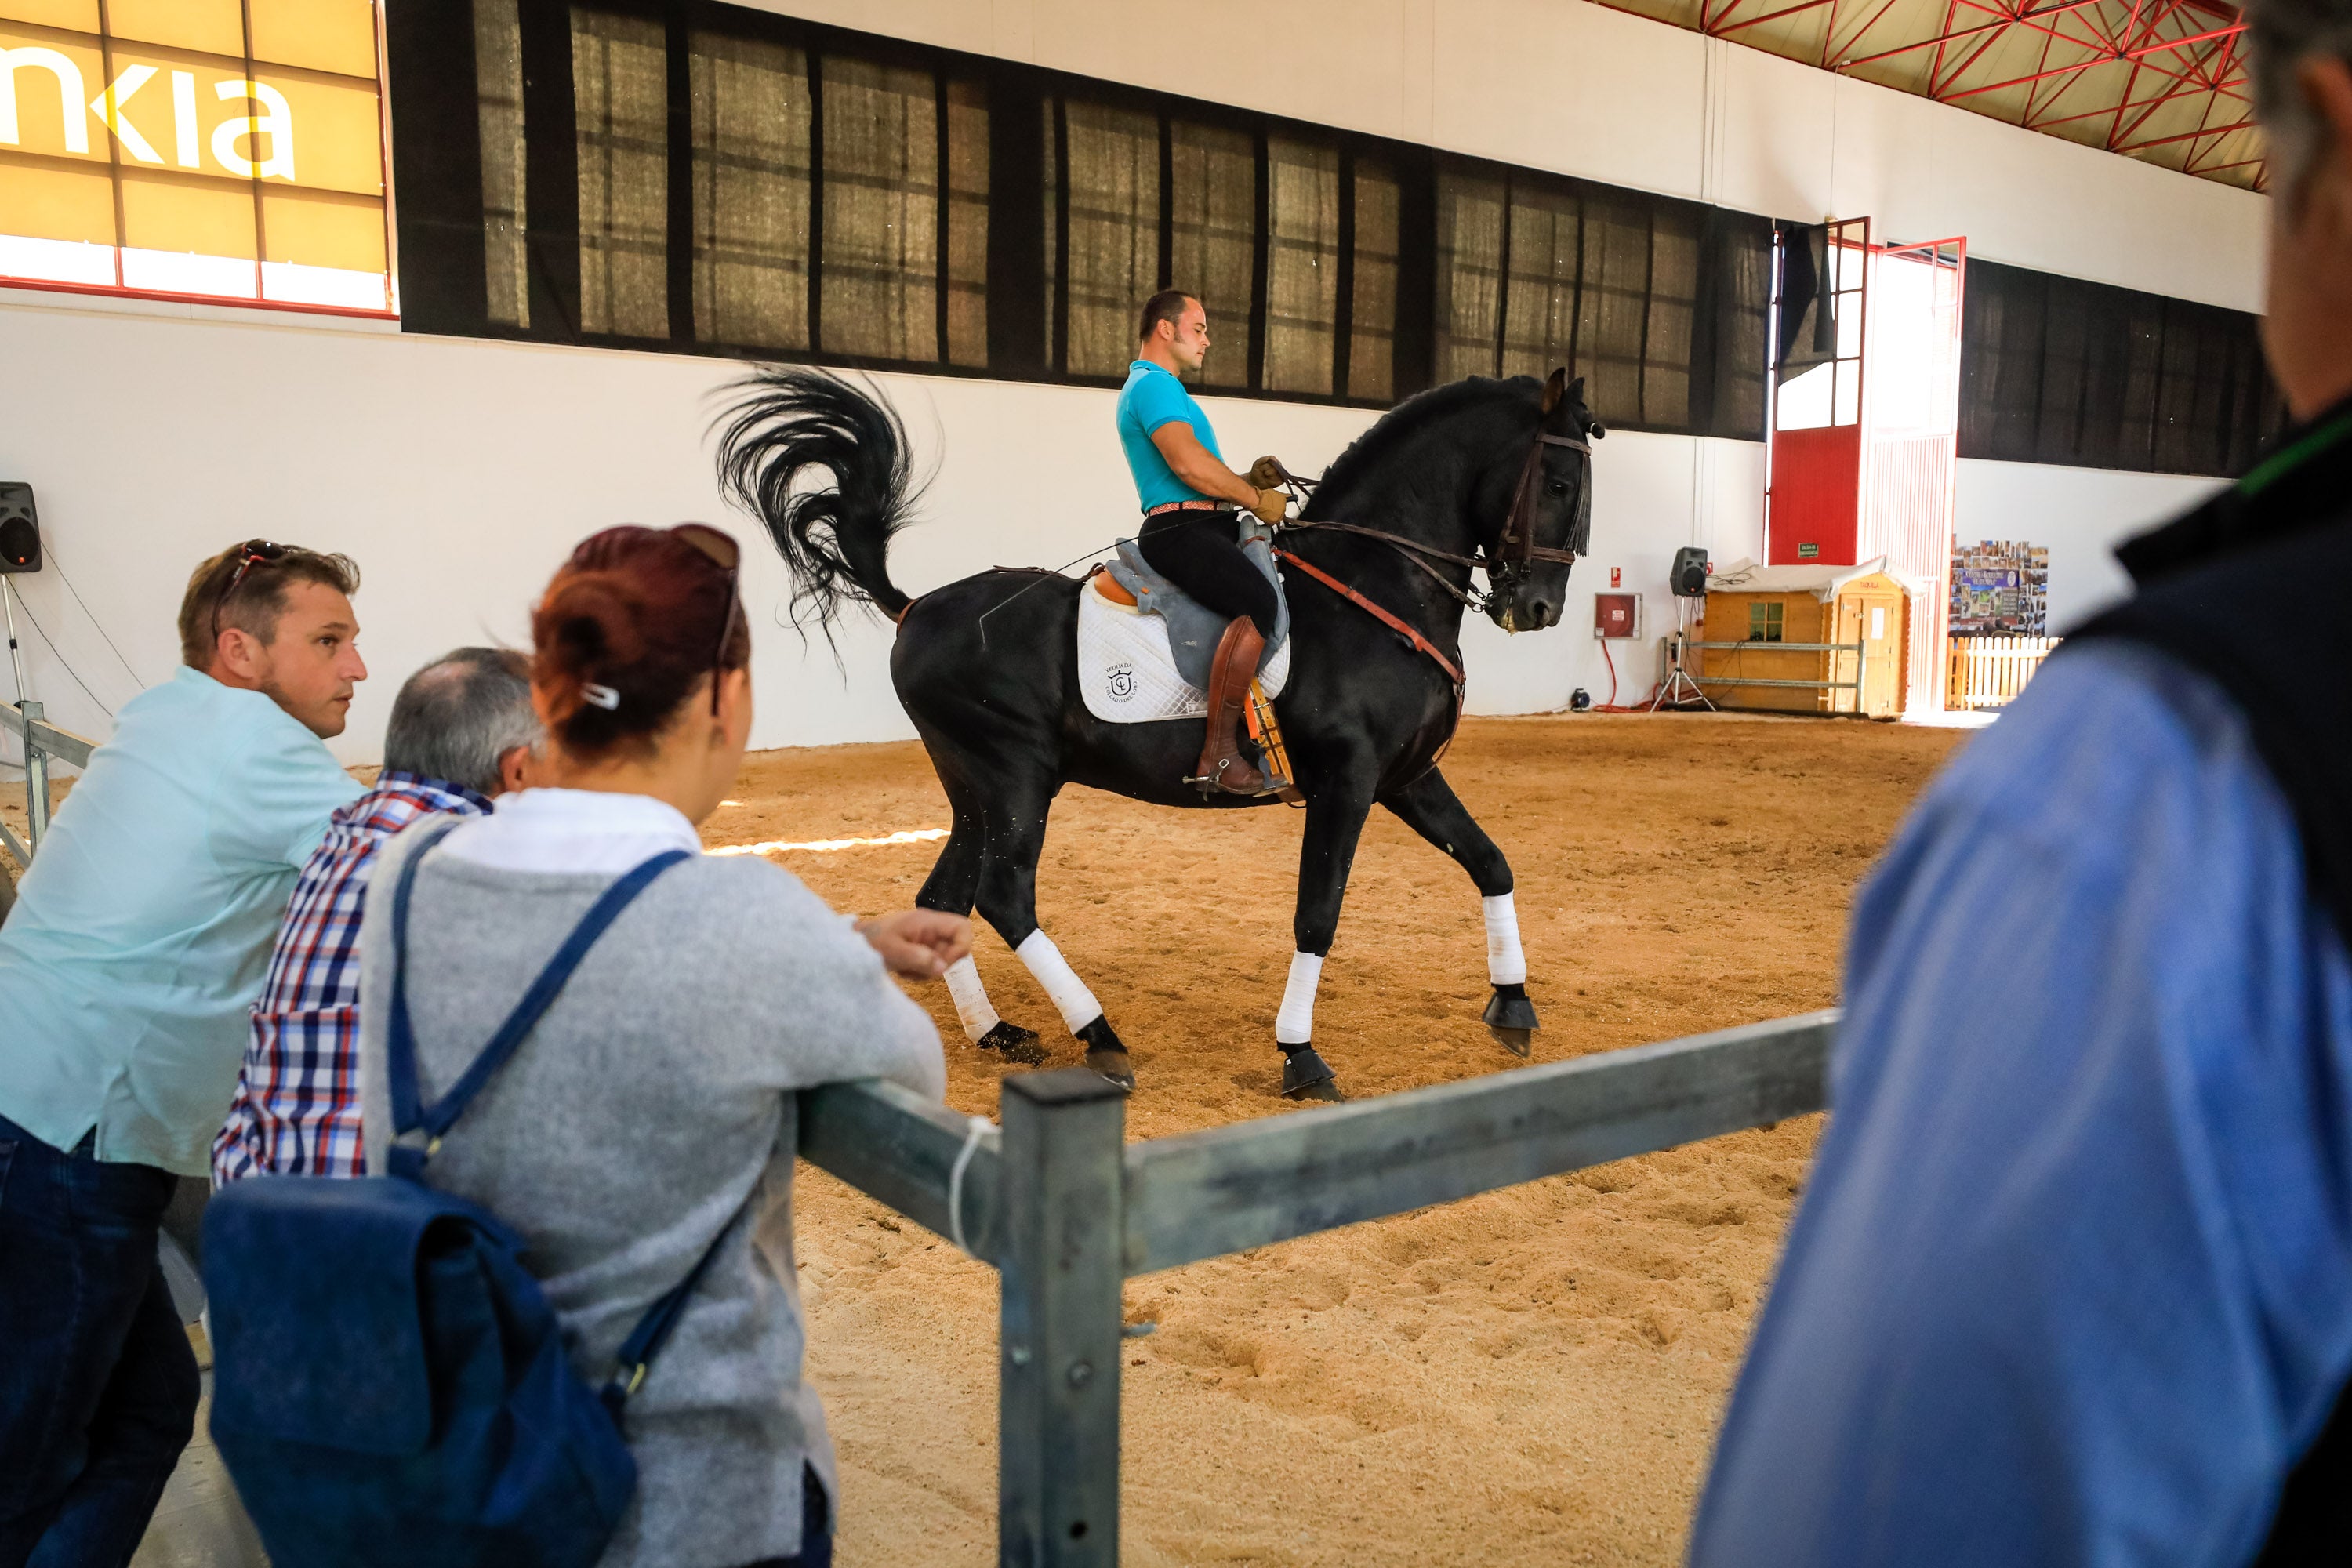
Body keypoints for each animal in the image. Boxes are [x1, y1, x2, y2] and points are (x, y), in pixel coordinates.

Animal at [715, 361, 1599, 1100]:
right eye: (1559, 481)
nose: (1538, 608)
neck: (1374, 587)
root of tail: (916, 608)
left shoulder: (1406, 777)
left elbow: (1490, 862)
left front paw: (1513, 1005)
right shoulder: (1346, 784)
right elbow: (1318, 915)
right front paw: (1300, 1055)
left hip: (973, 788)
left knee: (946, 896)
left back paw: (996, 1031)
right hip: (1013, 777)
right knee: (1004, 896)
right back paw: (1100, 1034)